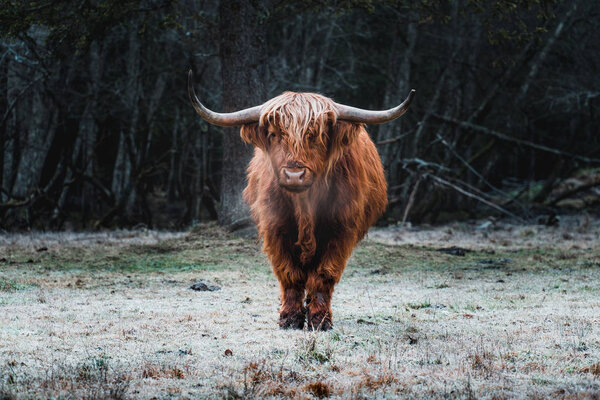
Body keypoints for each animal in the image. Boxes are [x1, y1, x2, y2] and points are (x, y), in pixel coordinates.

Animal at [188, 70, 412, 330]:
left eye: (316, 135)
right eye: (274, 134)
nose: (294, 175)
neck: (305, 206)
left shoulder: (340, 231)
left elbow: (324, 275)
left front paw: (320, 319)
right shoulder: (275, 230)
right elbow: (290, 275)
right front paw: (290, 318)